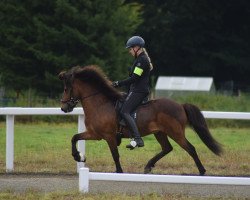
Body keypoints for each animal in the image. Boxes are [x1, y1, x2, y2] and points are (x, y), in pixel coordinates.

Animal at [59, 65, 223, 175]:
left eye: (67, 89)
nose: (63, 107)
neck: (100, 104)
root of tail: (180, 105)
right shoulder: (95, 134)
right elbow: (75, 137)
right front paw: (78, 156)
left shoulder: (108, 136)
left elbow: (115, 155)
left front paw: (119, 172)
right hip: (160, 132)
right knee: (167, 148)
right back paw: (148, 166)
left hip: (175, 133)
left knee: (190, 148)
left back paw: (202, 171)